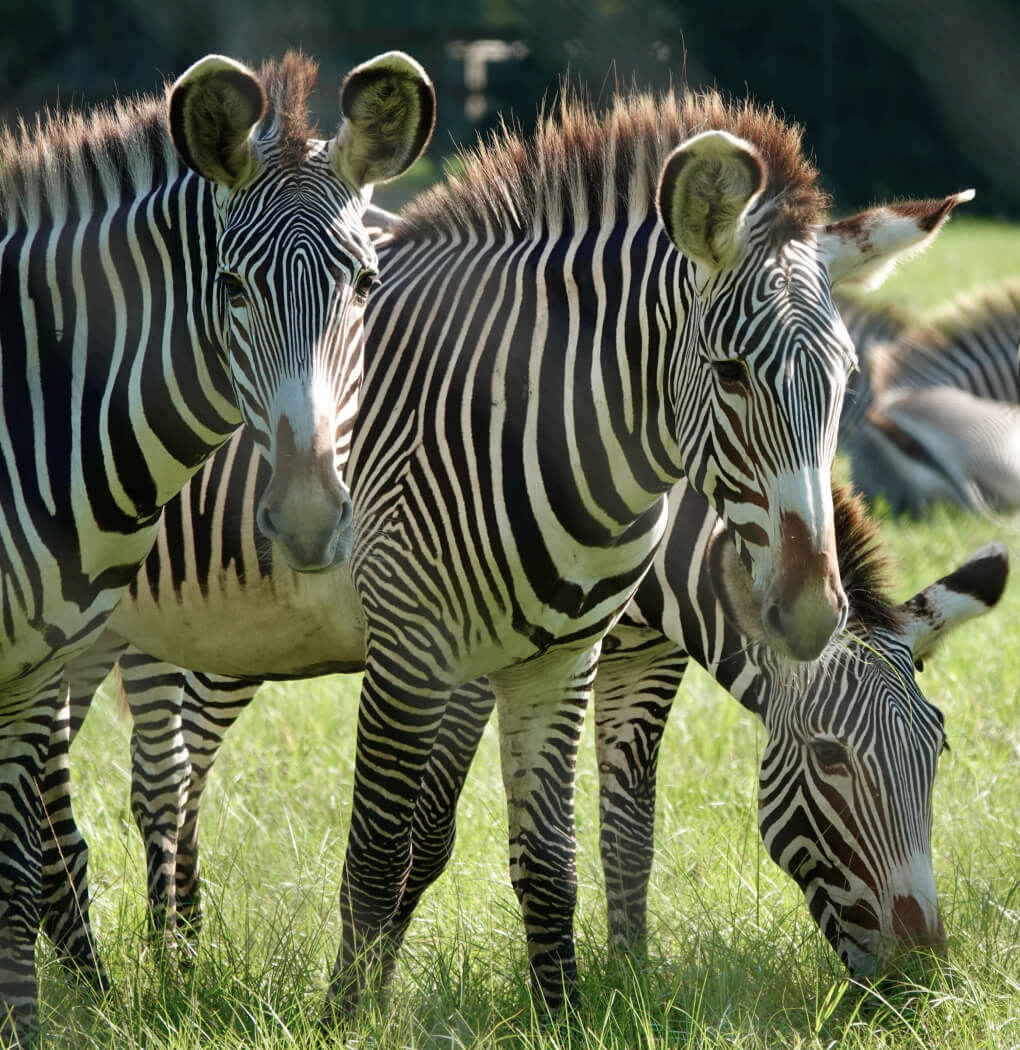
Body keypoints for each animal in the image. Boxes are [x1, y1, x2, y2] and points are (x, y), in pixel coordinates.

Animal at [59, 474, 1008, 991]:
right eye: (829, 758)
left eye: (940, 752)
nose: (923, 973)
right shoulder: (469, 656)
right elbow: (426, 837)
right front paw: (376, 984)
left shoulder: (643, 660)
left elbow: (630, 834)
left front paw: (633, 982)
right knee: (162, 782)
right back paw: (162, 968)